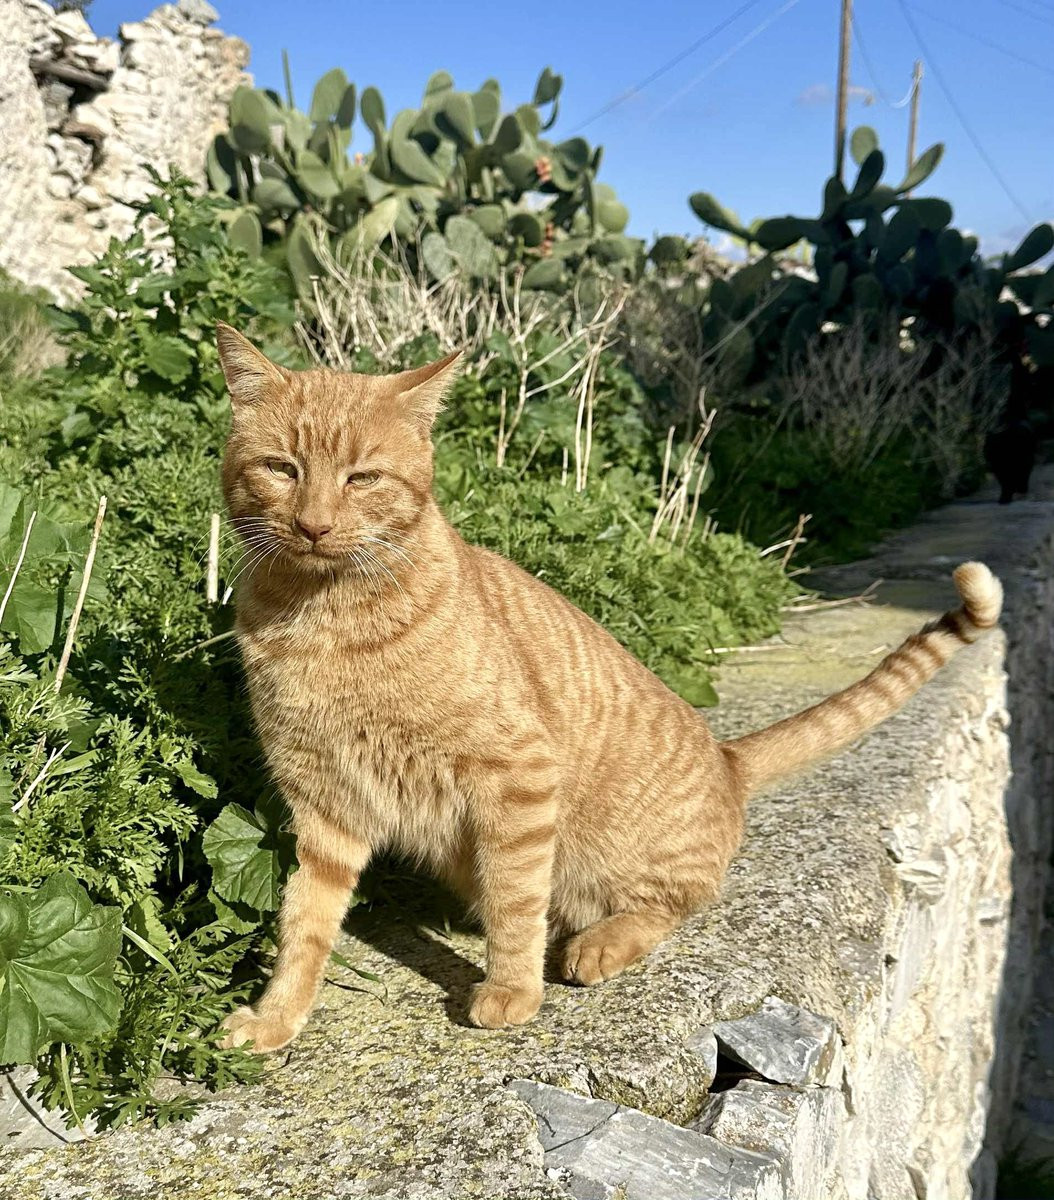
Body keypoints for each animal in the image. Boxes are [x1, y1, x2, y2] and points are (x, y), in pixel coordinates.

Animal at [214, 322, 1003, 1053]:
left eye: (363, 478)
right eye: (282, 468)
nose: (313, 525)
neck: (322, 620)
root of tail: (728, 757)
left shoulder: (518, 776)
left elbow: (516, 901)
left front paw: (512, 990)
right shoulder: (323, 806)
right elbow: (304, 924)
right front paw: (277, 1017)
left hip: (624, 859)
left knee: (668, 904)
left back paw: (596, 945)